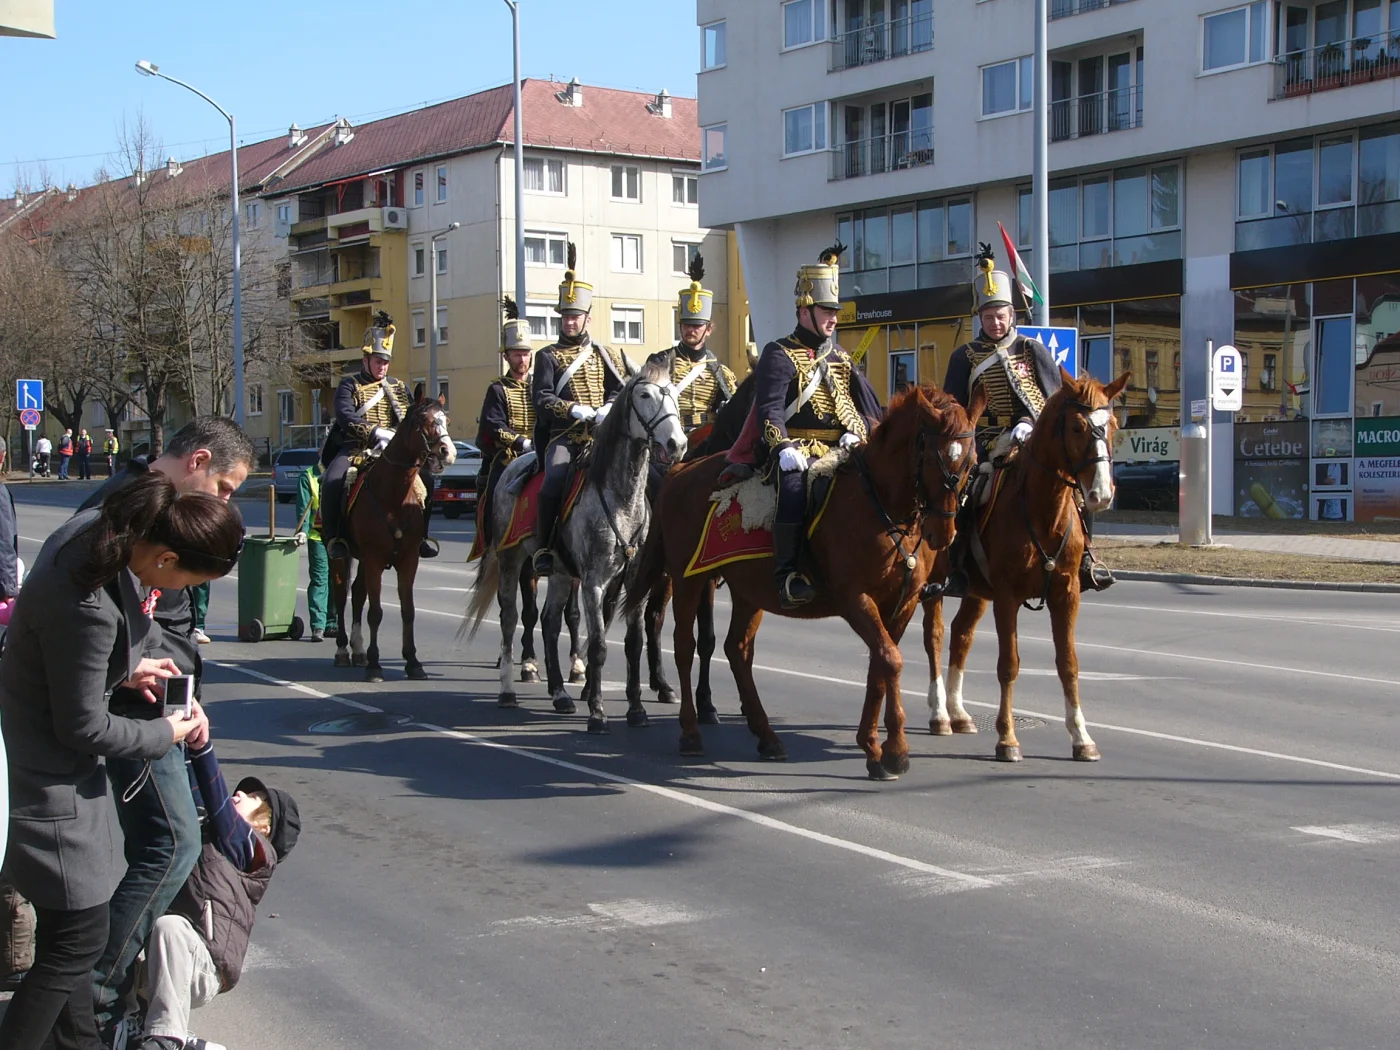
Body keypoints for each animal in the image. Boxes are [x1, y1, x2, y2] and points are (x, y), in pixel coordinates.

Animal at [330, 393, 455, 682]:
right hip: (341, 555)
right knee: (341, 595)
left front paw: (413, 662)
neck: (394, 496)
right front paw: (375, 666)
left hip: (363, 559)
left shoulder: (408, 560)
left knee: (357, 594)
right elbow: (376, 612)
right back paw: (343, 650)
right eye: (424, 420)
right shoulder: (376, 559)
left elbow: (408, 611)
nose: (449, 452)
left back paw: (358, 649)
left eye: (446, 419)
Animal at [467, 358, 687, 732]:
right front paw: (597, 711)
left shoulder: (633, 580)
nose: (676, 443)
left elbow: (633, 642)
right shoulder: (594, 582)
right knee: (510, 618)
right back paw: (509, 689)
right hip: (511, 560)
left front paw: (636, 709)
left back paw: (559, 693)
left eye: (673, 393)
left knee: (550, 621)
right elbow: (598, 645)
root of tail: (513, 465)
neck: (620, 497)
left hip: (557, 570)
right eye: (643, 394)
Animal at [627, 383, 983, 780]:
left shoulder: (901, 604)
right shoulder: (855, 598)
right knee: (685, 646)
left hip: (750, 591)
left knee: (738, 649)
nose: (944, 534)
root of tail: (680, 470)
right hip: (689, 579)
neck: (879, 504)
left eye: (970, 463)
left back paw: (767, 737)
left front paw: (874, 748)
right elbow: (890, 660)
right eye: (936, 460)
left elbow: (881, 663)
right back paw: (690, 731)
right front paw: (895, 751)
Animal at [924, 370, 1129, 762]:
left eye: (1111, 425)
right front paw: (1007, 739)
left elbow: (1068, 664)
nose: (1101, 494)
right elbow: (1009, 664)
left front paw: (1081, 737)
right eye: (1077, 427)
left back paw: (958, 713)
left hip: (976, 591)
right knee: (936, 635)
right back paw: (940, 713)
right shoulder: (1007, 597)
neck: (1042, 511)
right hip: (933, 587)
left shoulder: (1068, 593)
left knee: (961, 634)